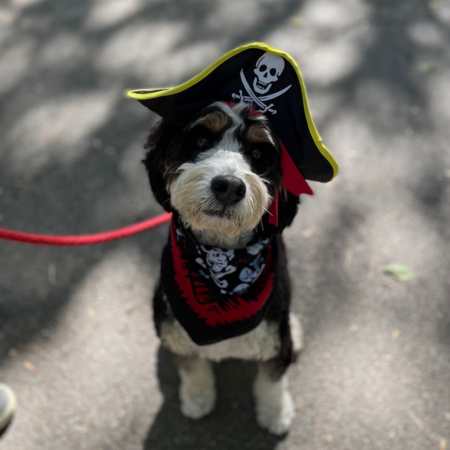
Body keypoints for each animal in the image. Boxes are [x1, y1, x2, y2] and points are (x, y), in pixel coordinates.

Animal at [143, 102, 306, 436]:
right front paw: (197, 400)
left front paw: (275, 413)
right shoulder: (176, 336)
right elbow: (193, 371)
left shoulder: (275, 339)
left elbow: (271, 380)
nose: (229, 186)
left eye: (258, 153)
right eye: (201, 140)